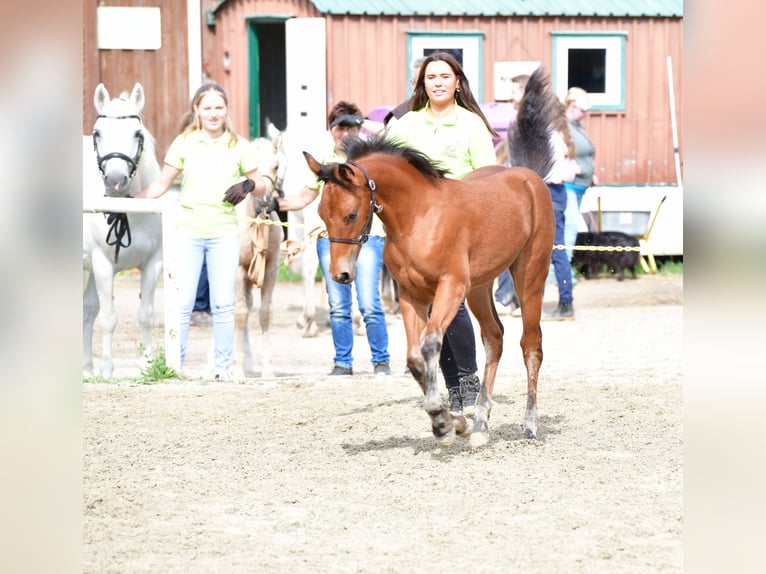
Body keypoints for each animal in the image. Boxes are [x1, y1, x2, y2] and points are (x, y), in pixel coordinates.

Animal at [83, 83, 163, 378]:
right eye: (97, 133)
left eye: (137, 134)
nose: (115, 182)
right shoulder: (103, 265)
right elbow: (108, 318)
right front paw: (107, 368)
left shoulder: (153, 263)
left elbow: (146, 314)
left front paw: (147, 364)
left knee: (87, 309)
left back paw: (86, 367)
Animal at [307, 68, 558, 447]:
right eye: (322, 212)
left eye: (350, 215)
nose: (341, 275)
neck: (418, 217)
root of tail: (529, 176)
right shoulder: (412, 293)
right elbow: (415, 358)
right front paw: (450, 421)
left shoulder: (450, 287)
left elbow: (430, 345)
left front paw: (445, 420)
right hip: (479, 287)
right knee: (494, 338)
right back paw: (481, 424)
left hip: (529, 273)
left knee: (531, 343)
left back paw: (529, 423)